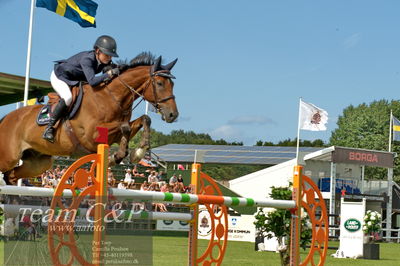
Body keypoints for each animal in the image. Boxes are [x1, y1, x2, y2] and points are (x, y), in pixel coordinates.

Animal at [0, 52, 178, 185]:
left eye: (172, 85)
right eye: (160, 83)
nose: (173, 115)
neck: (112, 97)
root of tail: (5, 119)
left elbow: (143, 120)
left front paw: (136, 152)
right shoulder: (89, 136)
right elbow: (125, 127)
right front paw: (121, 156)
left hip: (38, 163)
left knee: (11, 176)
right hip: (9, 157)